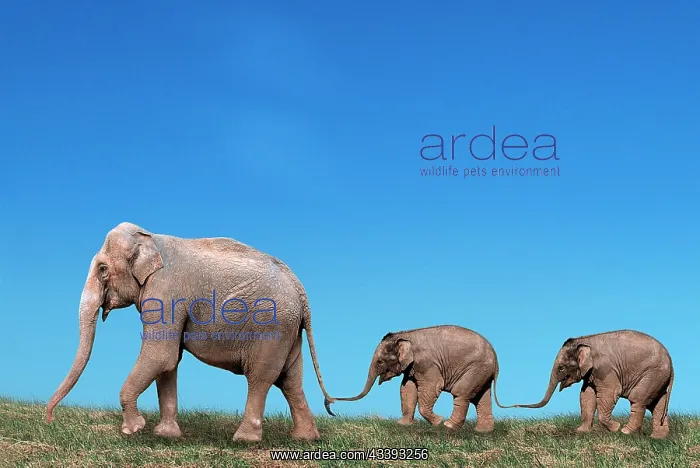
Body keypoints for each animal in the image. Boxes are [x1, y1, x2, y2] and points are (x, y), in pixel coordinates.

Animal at [45, 222, 338, 442]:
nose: (49, 418)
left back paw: (244, 440)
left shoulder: (165, 292)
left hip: (272, 328)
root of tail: (300, 289)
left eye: (103, 269)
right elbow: (169, 362)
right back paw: (305, 438)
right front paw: (166, 435)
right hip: (290, 331)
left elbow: (159, 355)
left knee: (261, 378)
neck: (151, 238)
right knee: (290, 379)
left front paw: (133, 429)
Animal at [324, 325, 510, 432]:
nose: (331, 404)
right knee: (481, 398)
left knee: (462, 393)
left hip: (475, 369)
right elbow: (407, 389)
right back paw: (483, 431)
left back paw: (448, 426)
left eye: (380, 361)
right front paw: (403, 424)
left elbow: (432, 386)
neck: (405, 335)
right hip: (481, 372)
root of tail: (496, 360)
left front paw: (438, 422)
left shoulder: (427, 362)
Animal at [510, 329, 674, 439]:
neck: (584, 341)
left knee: (638, 399)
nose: (515, 406)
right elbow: (586, 395)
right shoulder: (591, 373)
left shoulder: (605, 368)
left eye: (561, 368)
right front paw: (581, 431)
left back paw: (626, 432)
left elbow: (610, 393)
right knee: (658, 405)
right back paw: (658, 437)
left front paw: (615, 428)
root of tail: (671, 364)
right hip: (658, 379)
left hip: (652, 374)